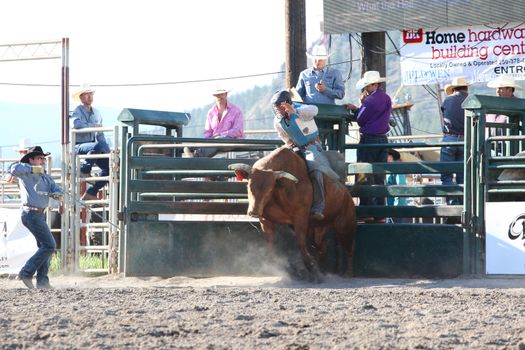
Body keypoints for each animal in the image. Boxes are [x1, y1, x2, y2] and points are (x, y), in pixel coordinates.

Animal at [229, 146, 356, 280]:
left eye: (269, 190)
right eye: (248, 186)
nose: (253, 212)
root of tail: (346, 193)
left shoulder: (300, 219)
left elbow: (300, 243)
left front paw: (310, 266)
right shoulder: (265, 221)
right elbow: (270, 242)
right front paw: (271, 264)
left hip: (345, 226)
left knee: (350, 247)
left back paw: (348, 273)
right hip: (318, 229)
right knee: (322, 247)